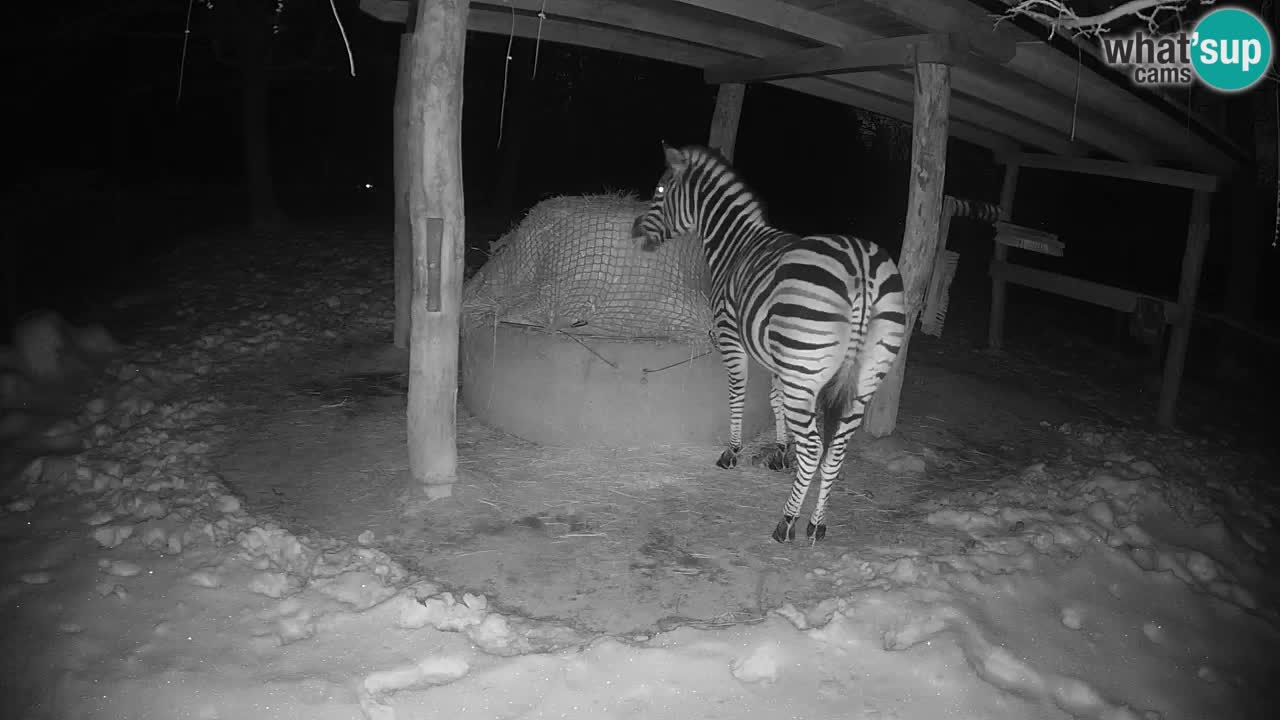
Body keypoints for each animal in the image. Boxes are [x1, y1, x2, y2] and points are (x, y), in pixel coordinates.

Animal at [631, 143, 907, 544]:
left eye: (660, 190)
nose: (634, 231)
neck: (733, 245)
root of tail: (862, 267)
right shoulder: (783, 360)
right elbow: (775, 400)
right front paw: (780, 451)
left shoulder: (732, 337)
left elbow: (738, 392)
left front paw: (732, 451)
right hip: (860, 379)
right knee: (835, 450)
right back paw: (816, 524)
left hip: (807, 371)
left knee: (814, 449)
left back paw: (787, 521)